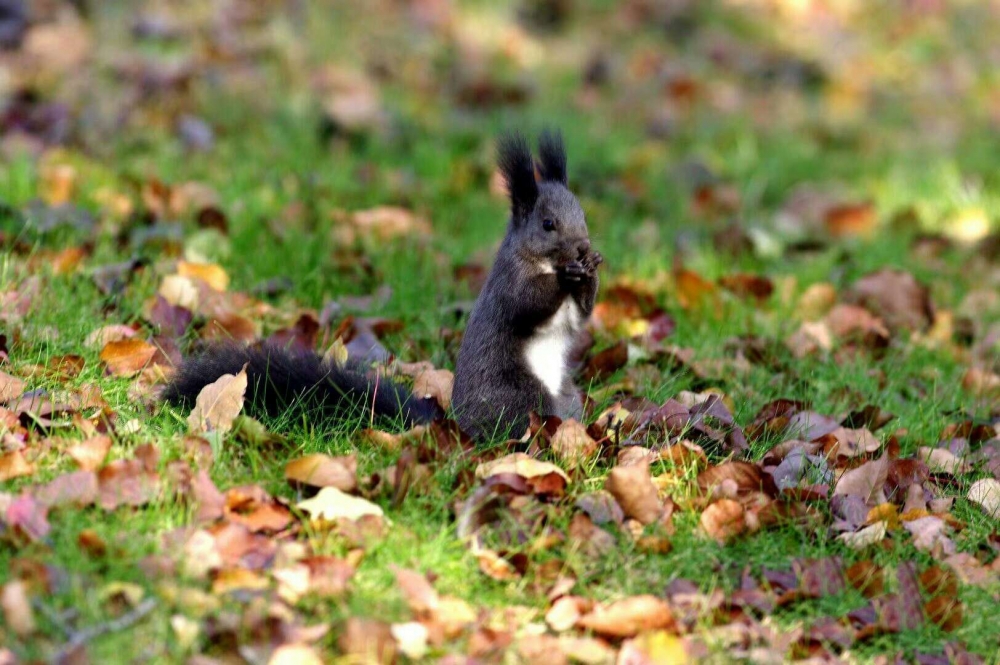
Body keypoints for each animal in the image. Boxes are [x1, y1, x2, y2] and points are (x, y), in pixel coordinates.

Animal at [164, 130, 600, 440]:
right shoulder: (509, 282)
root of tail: (458, 426)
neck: (542, 262)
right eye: (548, 224)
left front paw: (591, 272)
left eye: (582, 213)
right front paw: (568, 275)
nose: (583, 246)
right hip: (518, 395)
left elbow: (580, 317)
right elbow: (527, 303)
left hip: (565, 400)